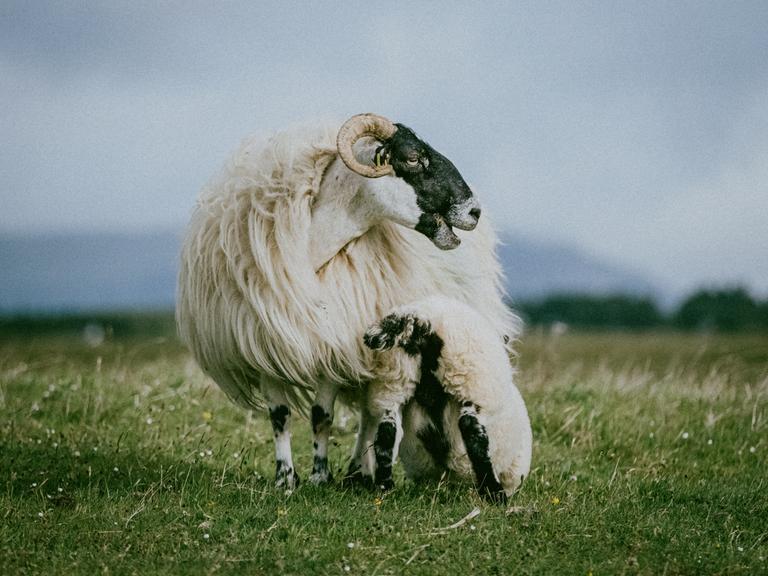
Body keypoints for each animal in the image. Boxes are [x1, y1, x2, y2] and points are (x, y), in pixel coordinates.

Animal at [177, 113, 520, 490]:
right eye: (413, 157)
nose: (474, 211)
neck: (311, 246)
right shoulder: (266, 347)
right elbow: (279, 416)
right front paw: (285, 480)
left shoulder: (334, 346)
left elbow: (321, 415)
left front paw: (320, 476)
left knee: (372, 414)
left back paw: (359, 471)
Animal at [364, 294, 532, 502]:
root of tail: (419, 321)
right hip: (471, 380)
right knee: (471, 429)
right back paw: (493, 492)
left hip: (393, 382)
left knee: (387, 432)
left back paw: (384, 487)